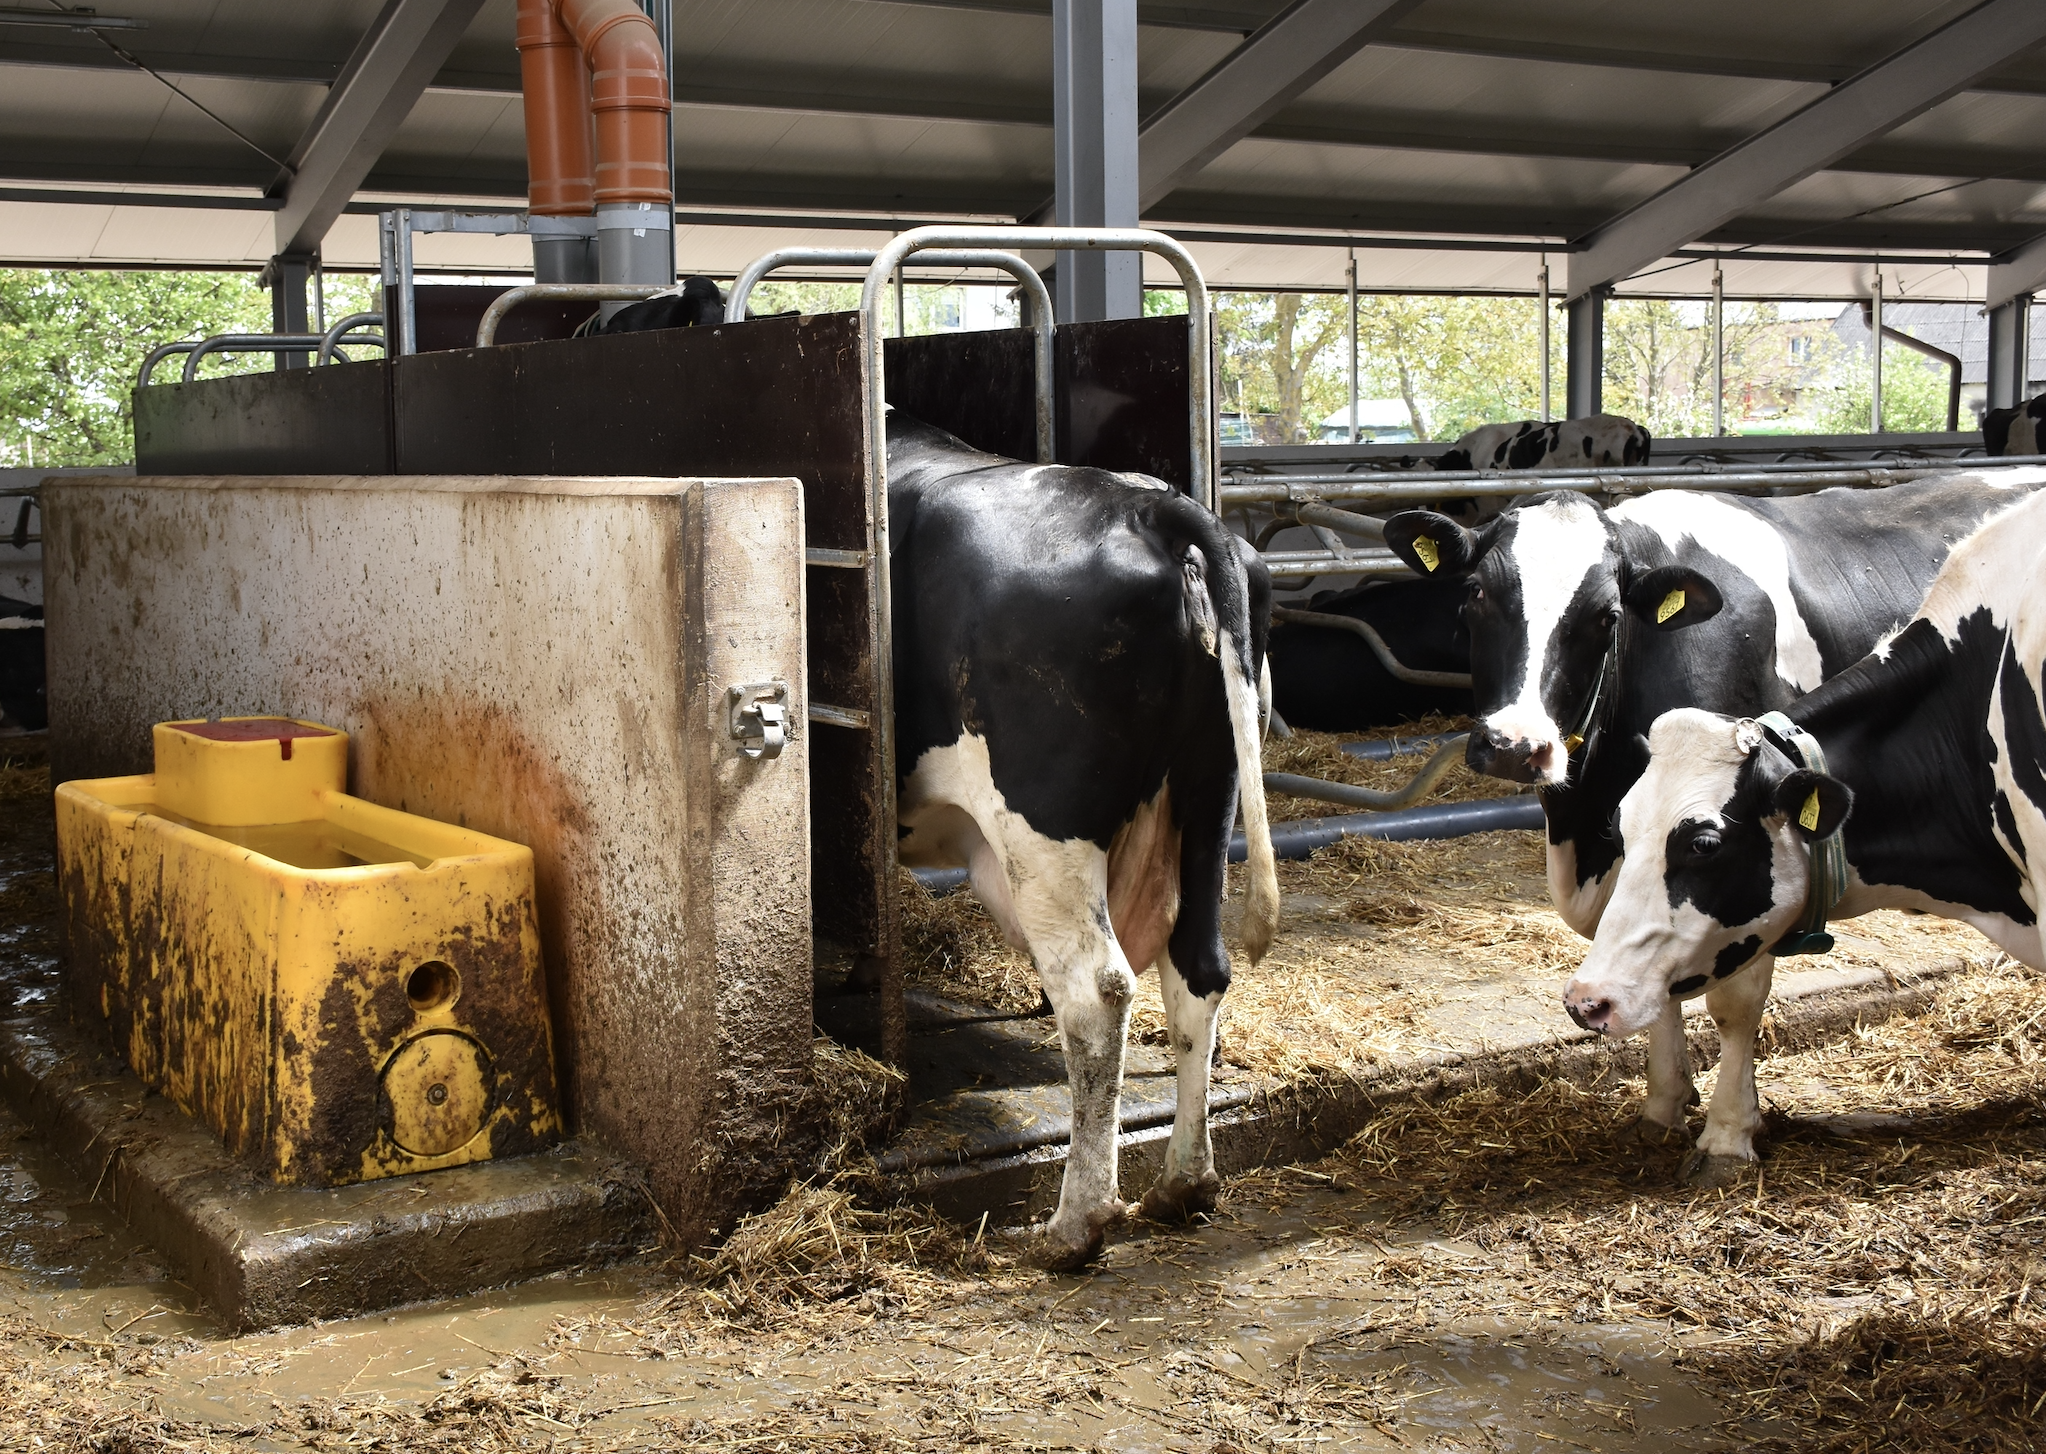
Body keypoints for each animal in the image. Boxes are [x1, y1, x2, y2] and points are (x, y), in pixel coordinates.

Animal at [892, 415, 1276, 1267]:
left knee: (1096, 991)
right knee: (1199, 969)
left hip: (1044, 829)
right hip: (1210, 800)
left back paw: (1076, 1224)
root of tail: (1148, 505)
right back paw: (1183, 1185)